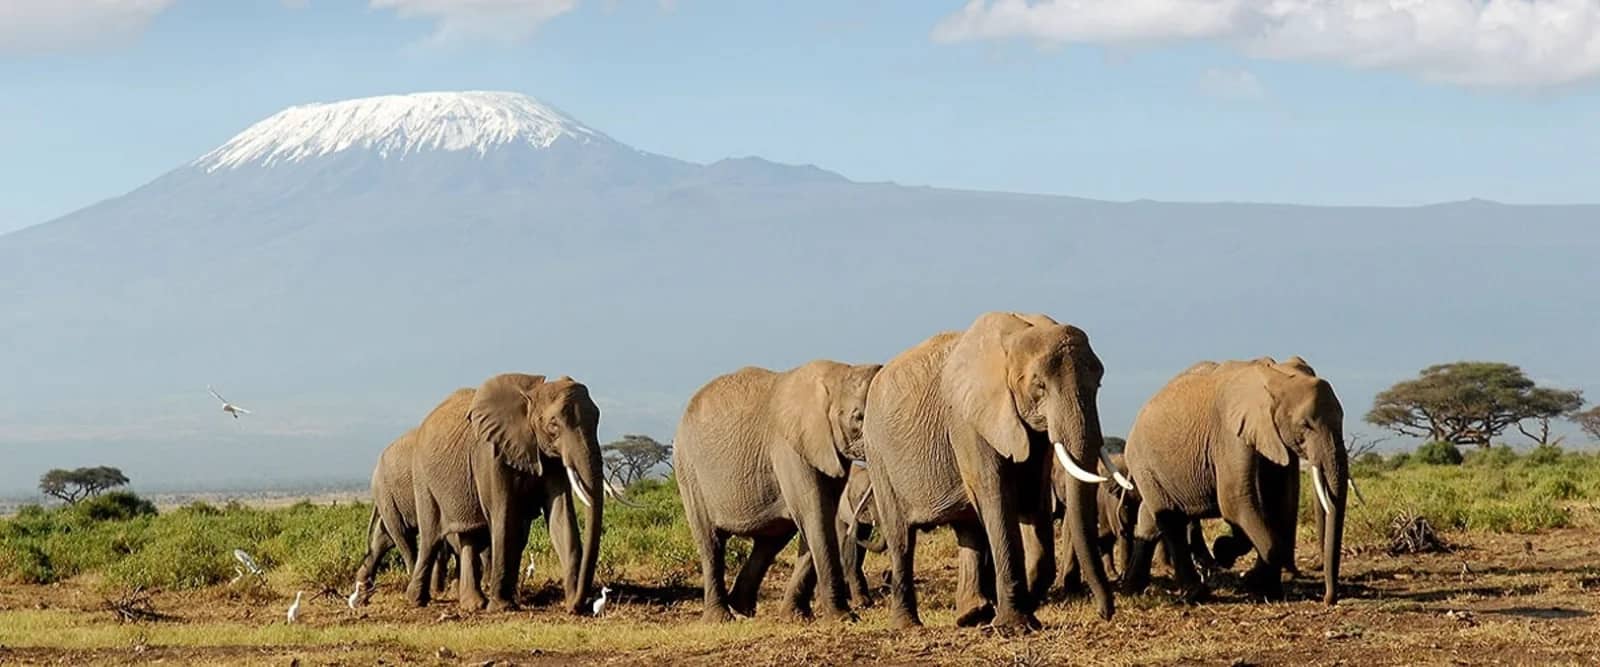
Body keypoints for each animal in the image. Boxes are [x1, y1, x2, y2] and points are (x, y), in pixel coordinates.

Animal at [409, 374, 606, 614]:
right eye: (553, 425)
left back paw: (473, 605)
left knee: (469, 537)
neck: (530, 397)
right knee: (431, 536)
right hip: (422, 477)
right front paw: (502, 608)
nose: (577, 606)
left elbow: (561, 517)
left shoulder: (549, 457)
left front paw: (571, 603)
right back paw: (417, 600)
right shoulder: (490, 451)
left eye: (597, 419)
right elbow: (503, 515)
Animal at [673, 360, 881, 623]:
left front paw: (797, 617)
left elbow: (819, 519)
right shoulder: (790, 447)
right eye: (858, 417)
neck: (839, 374)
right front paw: (844, 618)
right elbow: (815, 516)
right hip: (689, 470)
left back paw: (742, 609)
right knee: (711, 541)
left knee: (771, 541)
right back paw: (720, 619)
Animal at [862, 312, 1116, 629]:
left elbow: (1033, 499)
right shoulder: (968, 422)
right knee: (901, 538)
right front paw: (1015, 625)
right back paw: (907, 625)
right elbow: (997, 497)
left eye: (1099, 383)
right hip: (878, 456)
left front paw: (1025, 609)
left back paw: (972, 615)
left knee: (968, 528)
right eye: (1039, 386)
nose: (1105, 613)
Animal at [1120, 357, 1348, 604]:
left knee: (1150, 517)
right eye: (1306, 425)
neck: (1275, 376)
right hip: (1143, 464)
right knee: (1171, 519)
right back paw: (1195, 593)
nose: (1328, 599)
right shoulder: (1230, 435)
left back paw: (1131, 590)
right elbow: (1235, 501)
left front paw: (1266, 589)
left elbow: (1274, 501)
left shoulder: (1269, 436)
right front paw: (1244, 573)